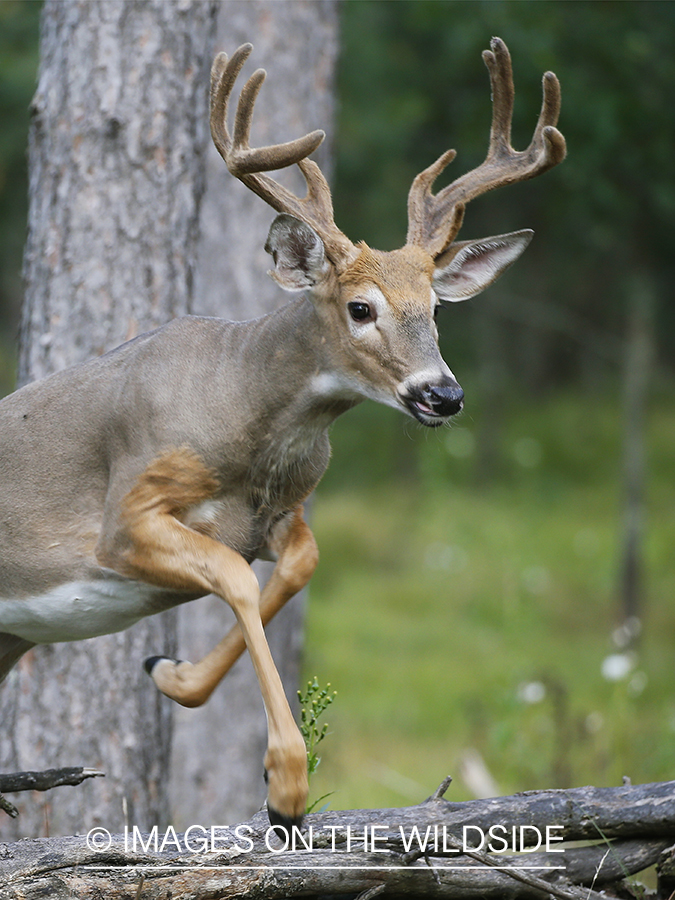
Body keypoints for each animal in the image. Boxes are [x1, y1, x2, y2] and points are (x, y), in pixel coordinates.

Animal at [0, 40, 564, 828]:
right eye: (360, 308)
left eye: (434, 310)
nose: (443, 395)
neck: (244, 424)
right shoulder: (125, 512)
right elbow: (235, 575)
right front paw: (287, 783)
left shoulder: (278, 513)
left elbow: (302, 562)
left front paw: (171, 673)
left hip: (7, 633)